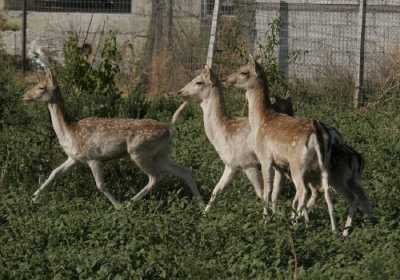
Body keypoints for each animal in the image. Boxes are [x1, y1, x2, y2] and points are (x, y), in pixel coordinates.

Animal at [22, 69, 203, 209]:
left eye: (41, 87)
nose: (24, 96)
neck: (69, 131)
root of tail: (168, 128)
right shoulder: (74, 158)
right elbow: (54, 173)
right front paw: (33, 197)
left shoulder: (93, 158)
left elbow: (100, 185)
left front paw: (117, 206)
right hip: (161, 154)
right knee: (185, 171)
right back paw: (201, 205)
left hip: (139, 151)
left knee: (155, 177)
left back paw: (128, 204)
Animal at [170, 65, 292, 212]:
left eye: (199, 82)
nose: (180, 92)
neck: (223, 134)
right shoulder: (231, 165)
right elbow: (216, 190)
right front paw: (205, 212)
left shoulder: (248, 163)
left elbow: (261, 193)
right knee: (278, 188)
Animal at [225, 57, 338, 232]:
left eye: (244, 72)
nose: (226, 79)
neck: (261, 120)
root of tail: (317, 133)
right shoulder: (279, 164)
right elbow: (275, 191)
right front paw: (274, 216)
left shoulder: (265, 158)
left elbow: (267, 189)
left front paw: (265, 219)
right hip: (323, 165)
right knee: (326, 191)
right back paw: (334, 230)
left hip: (297, 165)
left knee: (303, 190)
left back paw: (295, 223)